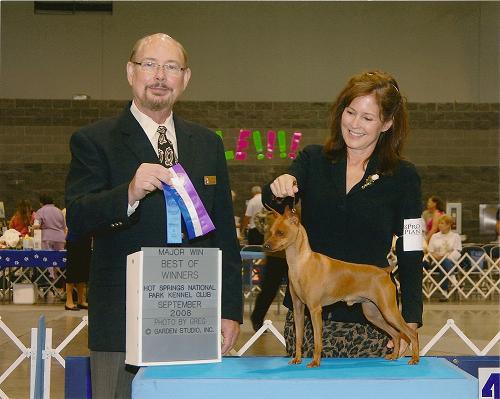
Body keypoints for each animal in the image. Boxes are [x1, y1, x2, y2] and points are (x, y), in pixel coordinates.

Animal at [264, 206, 420, 368]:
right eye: (271, 231)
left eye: (280, 232)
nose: (265, 246)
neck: (301, 263)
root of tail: (384, 271)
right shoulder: (298, 308)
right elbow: (299, 338)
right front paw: (297, 359)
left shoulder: (315, 309)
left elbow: (317, 340)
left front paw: (315, 362)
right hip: (373, 314)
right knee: (396, 334)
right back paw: (394, 356)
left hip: (388, 310)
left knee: (411, 333)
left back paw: (415, 358)